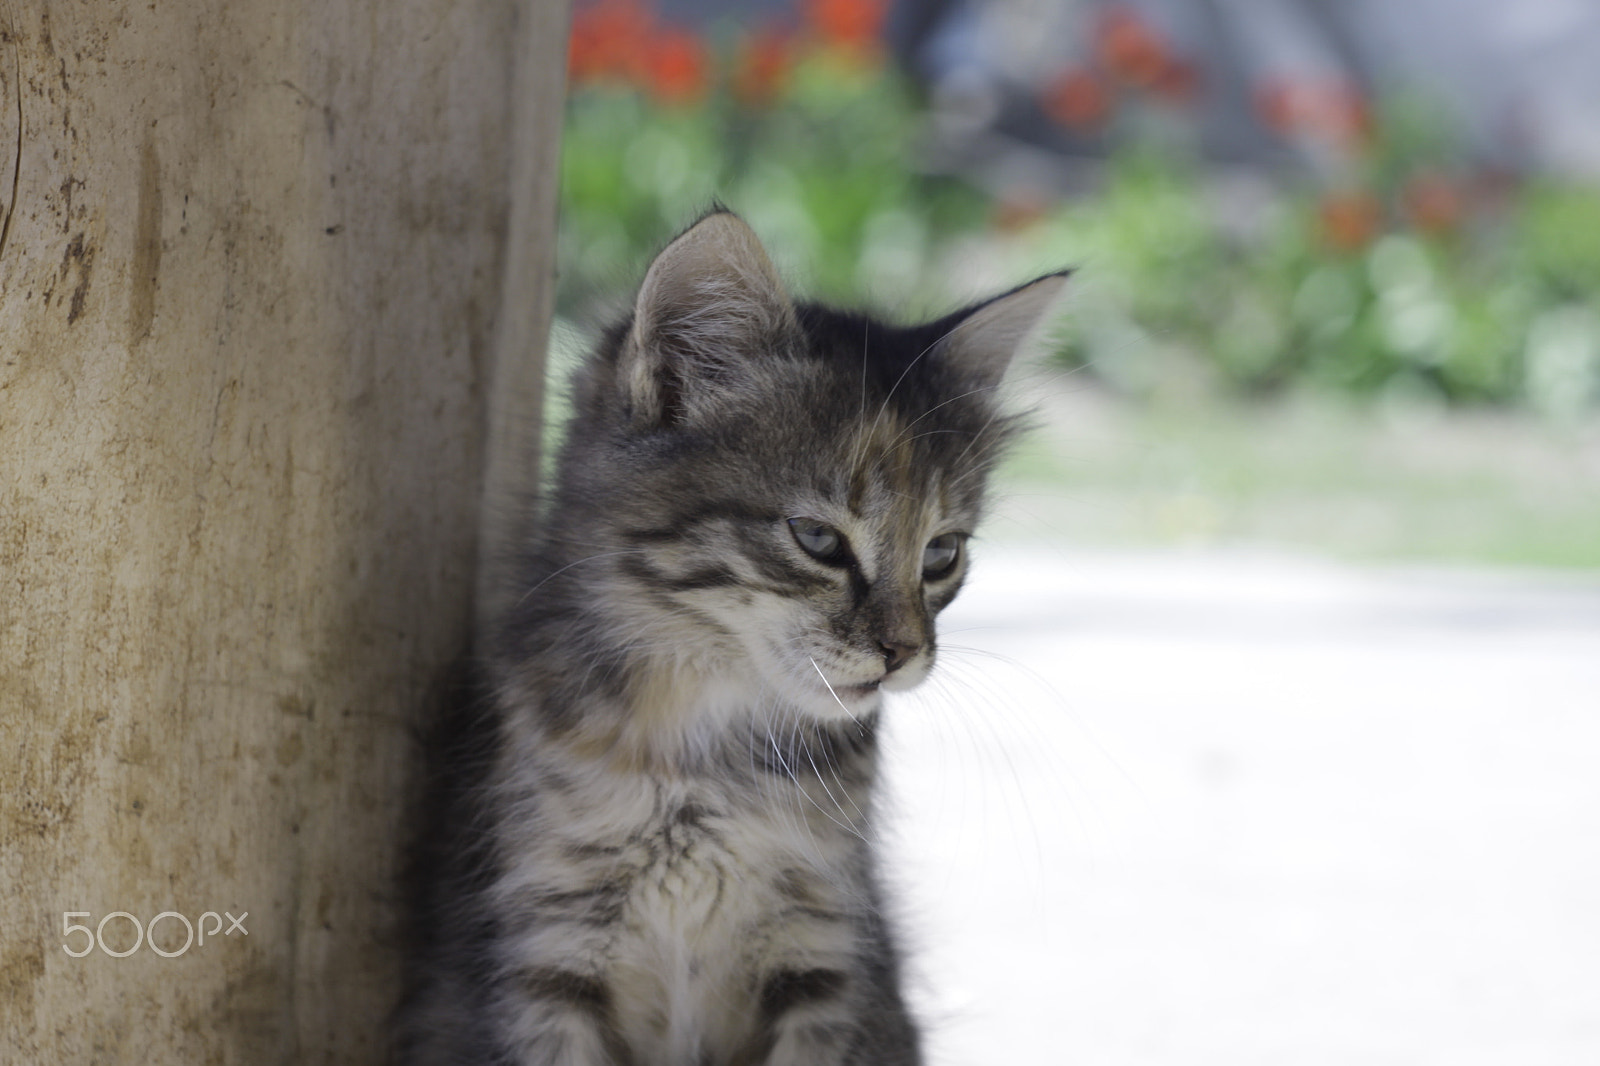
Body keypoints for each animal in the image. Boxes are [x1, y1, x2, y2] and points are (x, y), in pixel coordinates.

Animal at [403, 211, 1062, 1056]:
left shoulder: (827, 957)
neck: (706, 752)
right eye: (817, 539)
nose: (904, 653)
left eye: (943, 554)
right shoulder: (539, 952)